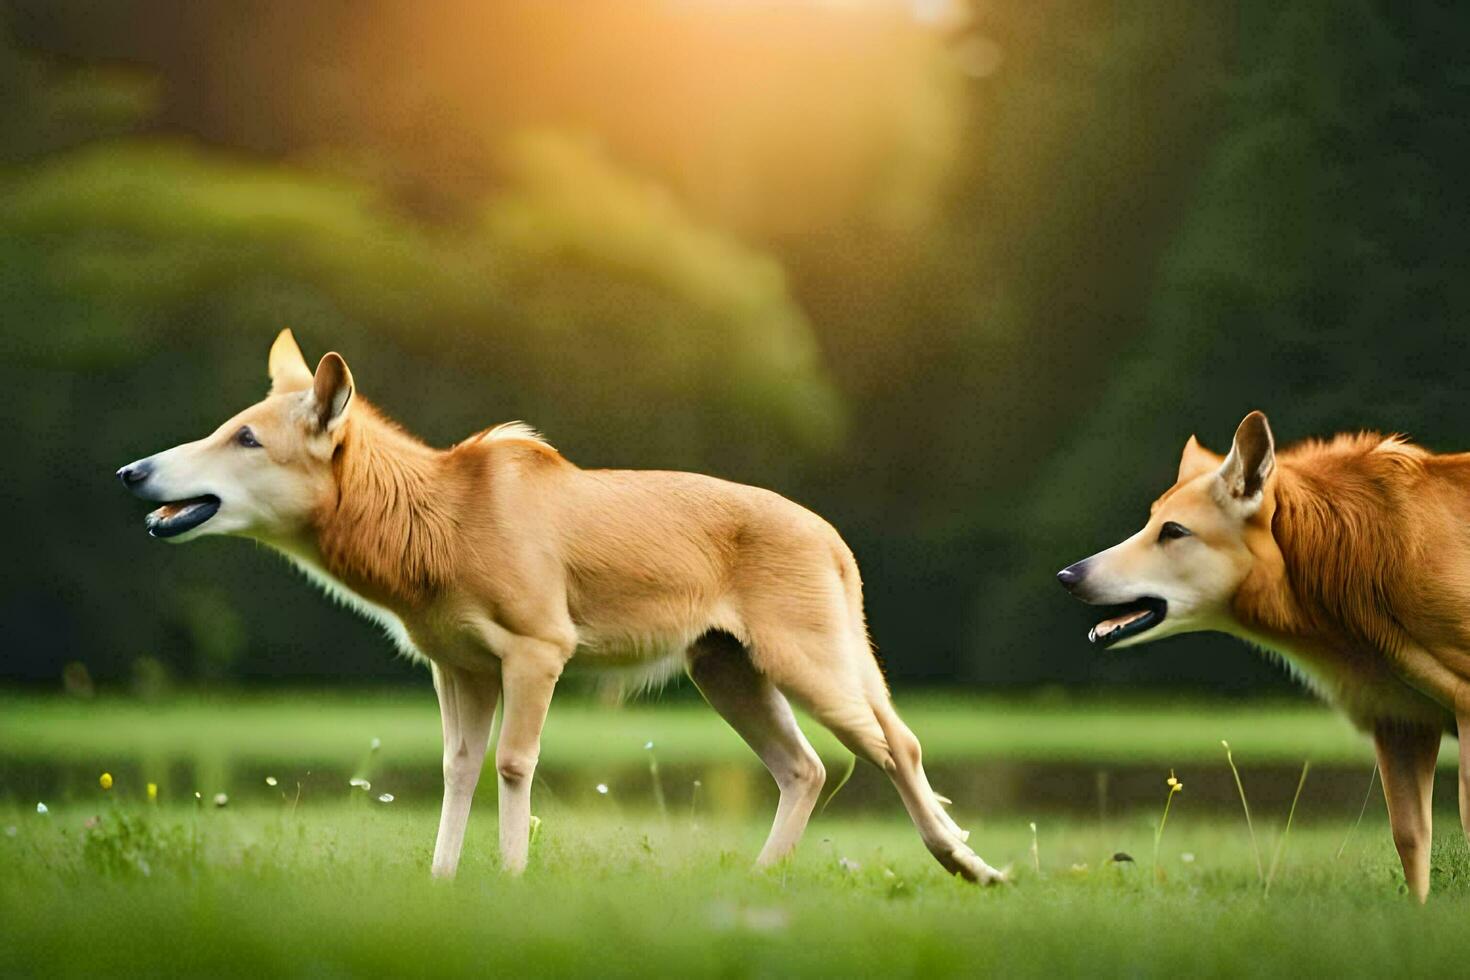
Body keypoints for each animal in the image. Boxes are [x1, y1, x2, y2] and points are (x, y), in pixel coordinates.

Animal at [120, 333, 1005, 887]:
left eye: (248, 439)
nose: (132, 471)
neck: (429, 533)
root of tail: (835, 544)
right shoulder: (457, 667)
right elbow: (458, 767)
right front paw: (442, 879)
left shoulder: (537, 648)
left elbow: (514, 763)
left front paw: (512, 874)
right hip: (725, 668)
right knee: (808, 765)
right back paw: (761, 878)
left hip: (810, 656)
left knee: (898, 745)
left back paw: (971, 865)